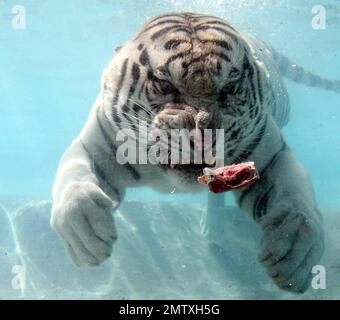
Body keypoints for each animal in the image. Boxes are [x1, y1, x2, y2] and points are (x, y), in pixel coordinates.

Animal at [51, 12, 340, 292]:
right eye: (165, 85)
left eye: (229, 89)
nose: (203, 135)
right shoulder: (95, 147)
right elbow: (73, 187)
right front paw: (89, 236)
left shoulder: (270, 155)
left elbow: (299, 205)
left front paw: (293, 253)